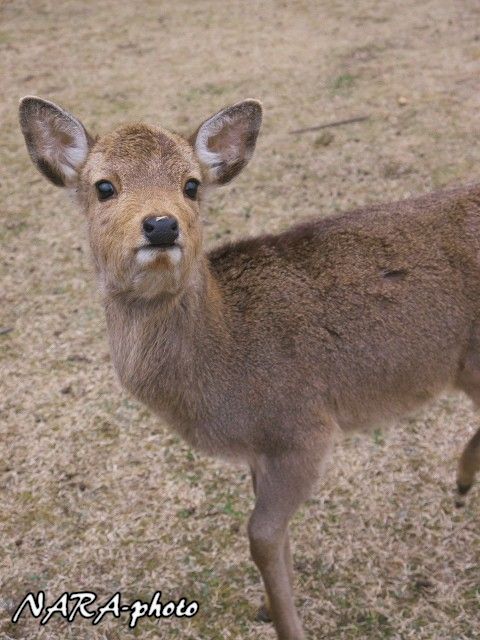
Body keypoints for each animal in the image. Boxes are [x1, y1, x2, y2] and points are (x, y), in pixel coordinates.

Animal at [18, 95, 480, 640]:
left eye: (191, 184)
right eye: (104, 186)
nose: (161, 224)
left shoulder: (303, 428)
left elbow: (261, 534)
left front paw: (288, 626)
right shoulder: (264, 451)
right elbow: (277, 535)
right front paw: (270, 607)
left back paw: (462, 482)